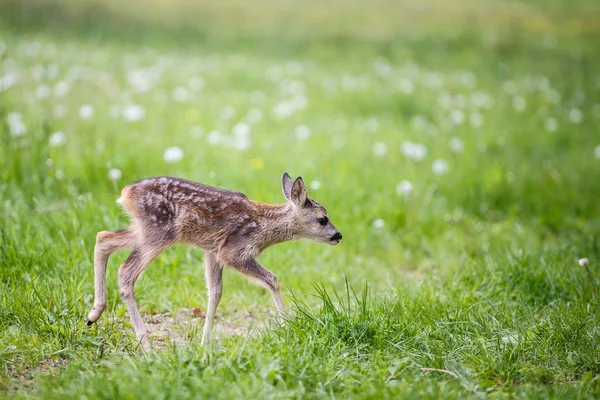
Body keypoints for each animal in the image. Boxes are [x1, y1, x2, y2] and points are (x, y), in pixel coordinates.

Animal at [88, 173, 342, 348]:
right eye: (322, 219)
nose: (338, 235)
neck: (263, 226)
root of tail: (125, 193)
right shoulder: (233, 251)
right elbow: (272, 278)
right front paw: (287, 324)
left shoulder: (212, 251)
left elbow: (215, 292)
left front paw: (204, 344)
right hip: (159, 232)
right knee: (125, 270)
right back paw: (146, 345)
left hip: (143, 230)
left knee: (103, 238)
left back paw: (93, 315)